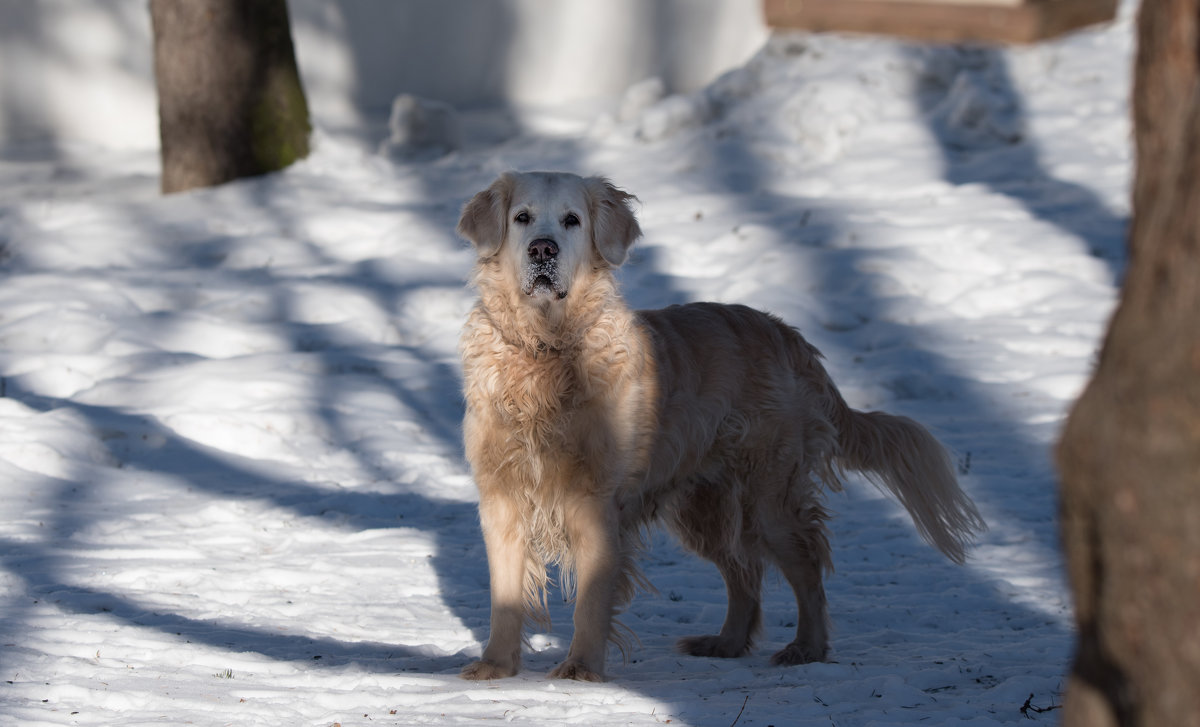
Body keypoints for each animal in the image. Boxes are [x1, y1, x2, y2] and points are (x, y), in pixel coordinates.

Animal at [456, 172, 984, 681]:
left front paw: (581, 668)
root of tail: (787, 334)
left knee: (806, 565)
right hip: (703, 507)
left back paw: (807, 648)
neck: (544, 349)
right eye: (522, 218)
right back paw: (727, 643)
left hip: (770, 499)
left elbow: (591, 600)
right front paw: (496, 665)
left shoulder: (596, 501)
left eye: (571, 220)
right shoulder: (500, 498)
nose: (542, 250)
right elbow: (505, 594)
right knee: (743, 571)